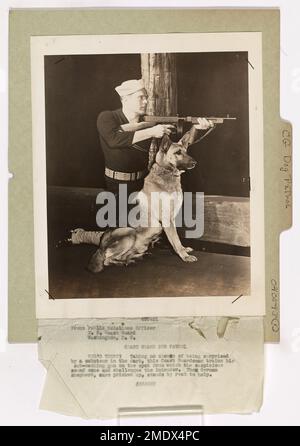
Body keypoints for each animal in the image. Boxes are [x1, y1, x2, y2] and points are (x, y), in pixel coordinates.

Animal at [67, 125, 200, 272]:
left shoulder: (171, 219)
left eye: (186, 151)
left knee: (122, 255)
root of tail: (100, 247)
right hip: (129, 233)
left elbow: (177, 240)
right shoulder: (167, 220)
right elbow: (175, 240)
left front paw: (184, 249)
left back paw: (134, 257)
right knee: (107, 260)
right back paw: (123, 262)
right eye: (178, 153)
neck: (165, 172)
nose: (195, 162)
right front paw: (184, 256)